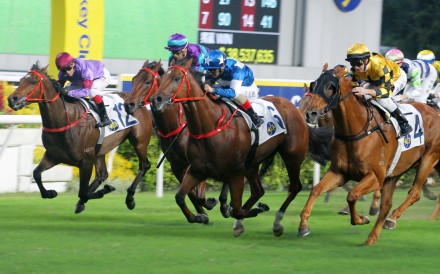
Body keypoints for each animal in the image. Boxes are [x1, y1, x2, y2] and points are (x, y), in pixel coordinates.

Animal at [7, 63, 153, 213]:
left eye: (34, 81)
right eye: (21, 80)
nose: (12, 99)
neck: (65, 120)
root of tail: (137, 100)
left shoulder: (86, 160)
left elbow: (82, 192)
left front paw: (104, 190)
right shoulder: (53, 156)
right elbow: (36, 173)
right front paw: (50, 193)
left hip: (139, 142)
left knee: (144, 165)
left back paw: (129, 198)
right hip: (100, 150)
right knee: (102, 174)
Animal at [124, 59, 218, 214]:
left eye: (148, 81)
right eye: (133, 80)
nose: (128, 104)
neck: (174, 126)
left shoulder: (197, 162)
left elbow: (197, 193)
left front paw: (207, 204)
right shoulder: (176, 165)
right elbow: (191, 194)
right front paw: (201, 213)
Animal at [150, 57, 332, 235]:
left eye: (176, 78)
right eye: (162, 79)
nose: (156, 100)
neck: (210, 126)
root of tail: (297, 110)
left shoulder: (235, 173)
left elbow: (236, 209)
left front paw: (249, 209)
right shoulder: (196, 169)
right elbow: (181, 196)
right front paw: (200, 216)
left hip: (292, 157)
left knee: (294, 187)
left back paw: (278, 223)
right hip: (253, 162)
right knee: (258, 190)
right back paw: (240, 221)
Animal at [300, 65, 440, 246]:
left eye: (330, 86)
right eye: (314, 84)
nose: (310, 114)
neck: (356, 131)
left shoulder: (376, 177)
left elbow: (352, 195)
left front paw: (361, 218)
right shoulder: (340, 173)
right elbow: (316, 190)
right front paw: (303, 226)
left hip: (428, 159)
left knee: (414, 193)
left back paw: (393, 219)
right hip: (396, 172)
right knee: (386, 205)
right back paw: (372, 238)